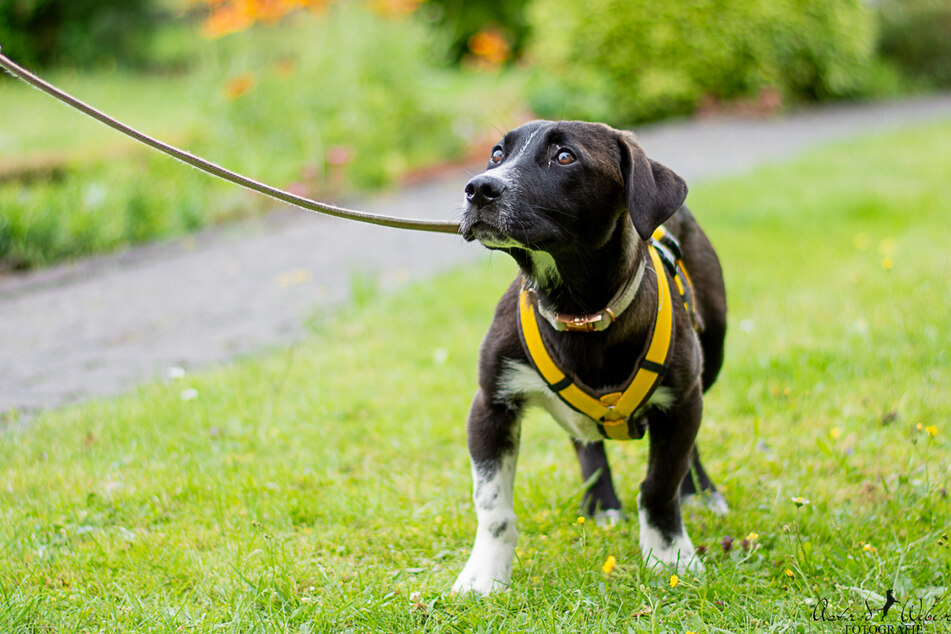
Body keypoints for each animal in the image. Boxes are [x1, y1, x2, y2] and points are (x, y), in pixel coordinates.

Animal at [454, 118, 728, 592]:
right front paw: (484, 576)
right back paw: (601, 504)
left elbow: (660, 485)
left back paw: (701, 492)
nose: (479, 189)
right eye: (496, 154)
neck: (578, 312)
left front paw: (669, 557)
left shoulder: (682, 399)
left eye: (565, 156)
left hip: (710, 357)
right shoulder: (491, 403)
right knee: (585, 441)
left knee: (687, 448)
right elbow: (492, 506)